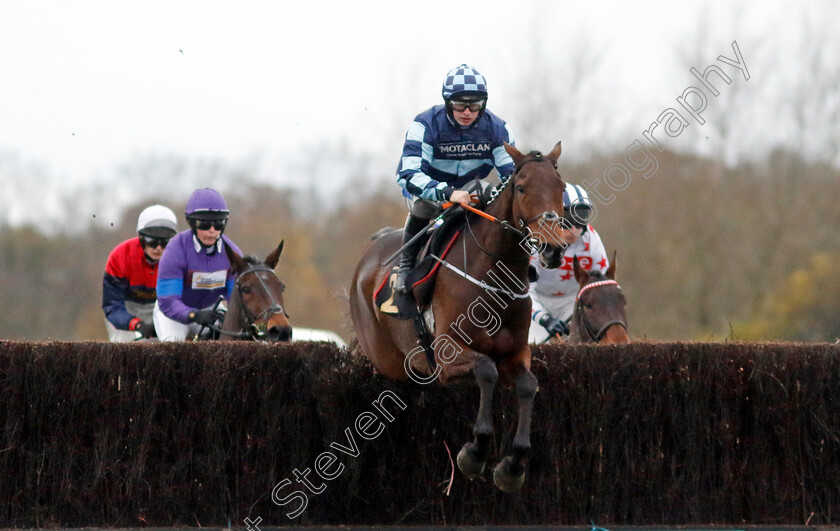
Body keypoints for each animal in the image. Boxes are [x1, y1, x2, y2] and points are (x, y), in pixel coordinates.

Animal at [352, 142, 568, 494]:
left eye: (561, 188)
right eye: (522, 188)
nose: (553, 248)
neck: (493, 276)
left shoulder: (516, 351)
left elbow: (527, 385)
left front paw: (512, 465)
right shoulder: (446, 353)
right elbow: (486, 370)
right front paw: (475, 453)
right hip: (385, 360)